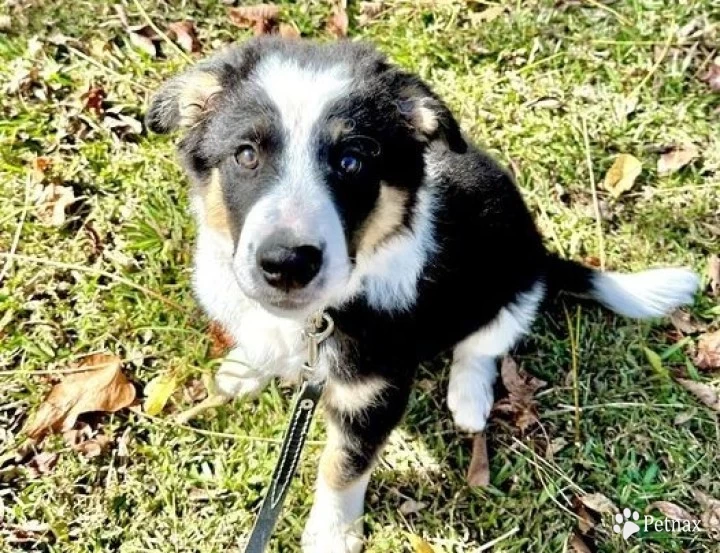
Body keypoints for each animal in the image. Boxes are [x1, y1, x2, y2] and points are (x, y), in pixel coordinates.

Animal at [149, 36, 700, 548]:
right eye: (245, 155)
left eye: (353, 162)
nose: (287, 264)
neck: (317, 318)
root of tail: (543, 257)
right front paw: (246, 367)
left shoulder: (376, 395)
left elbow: (342, 465)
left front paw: (332, 534)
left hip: (514, 285)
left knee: (485, 343)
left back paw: (469, 397)